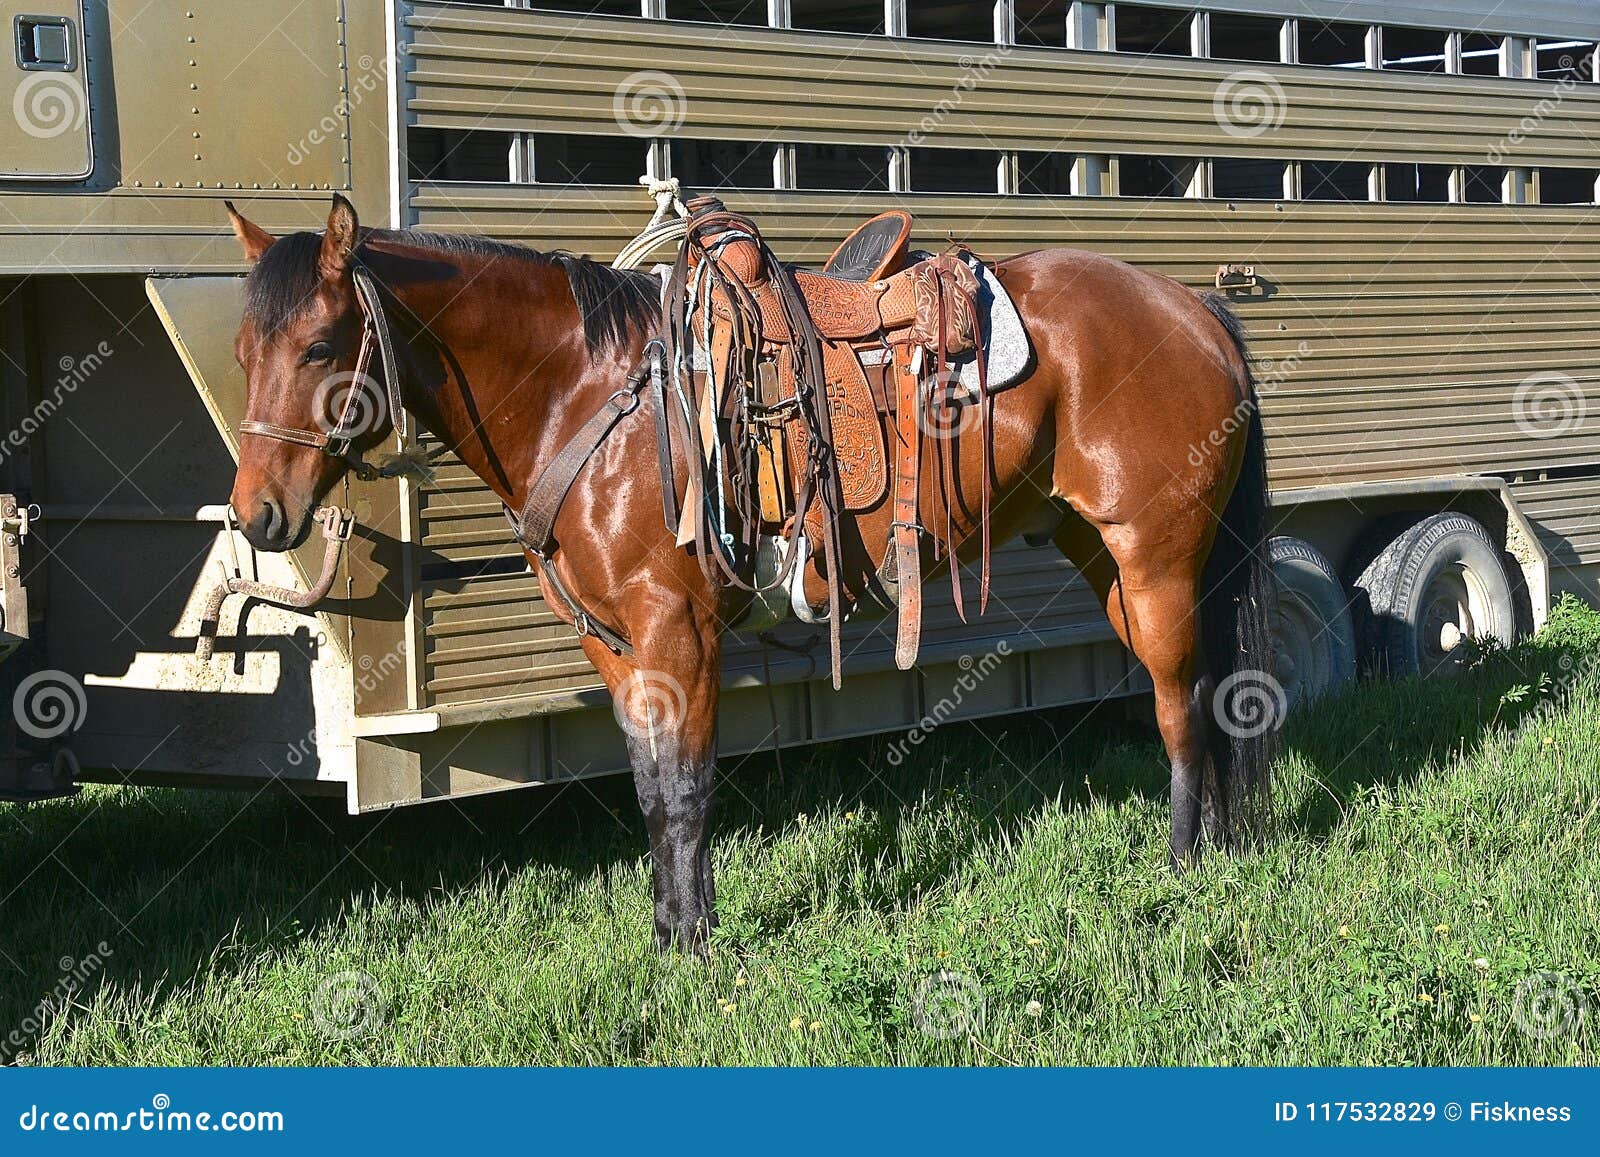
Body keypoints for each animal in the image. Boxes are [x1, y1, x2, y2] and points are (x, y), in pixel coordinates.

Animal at [222, 196, 1273, 960]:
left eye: (320, 347)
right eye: (242, 352)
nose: (256, 514)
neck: (585, 392)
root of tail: (1195, 309)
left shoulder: (675, 628)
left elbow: (687, 790)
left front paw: (696, 948)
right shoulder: (618, 647)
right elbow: (651, 789)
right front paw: (668, 934)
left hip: (1155, 556)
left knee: (1178, 705)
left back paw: (1183, 866)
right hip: (1110, 557)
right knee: (1202, 693)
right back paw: (1223, 849)